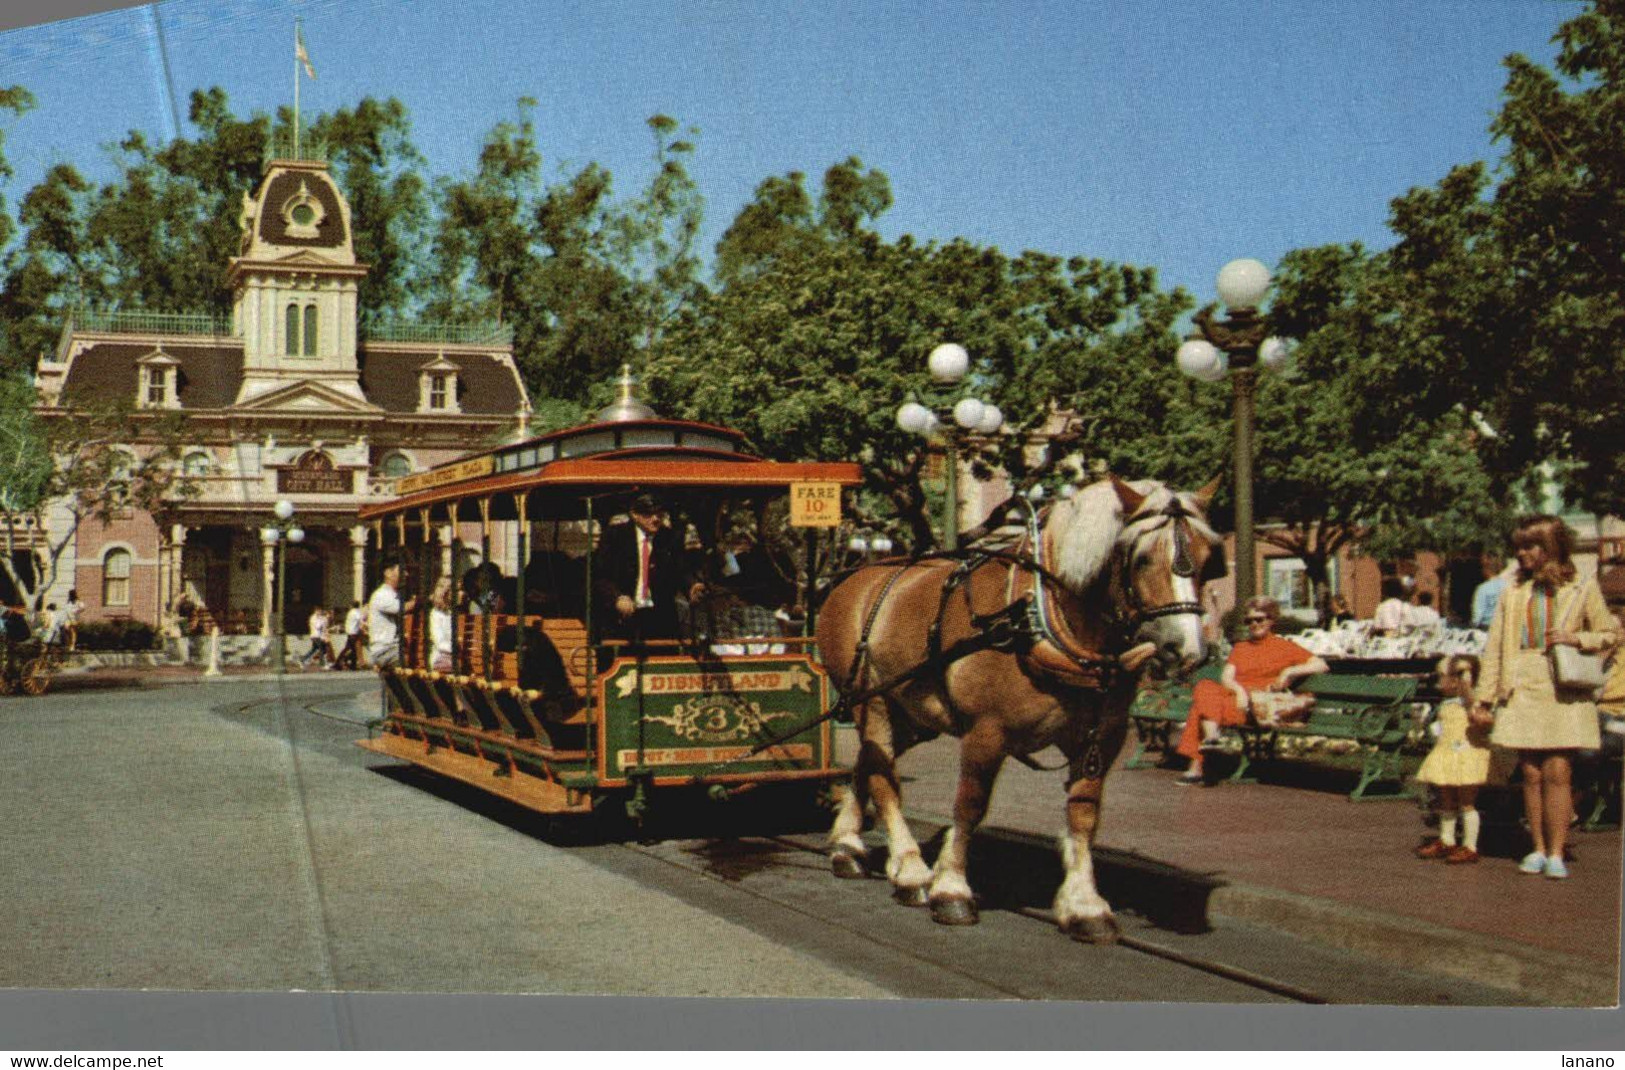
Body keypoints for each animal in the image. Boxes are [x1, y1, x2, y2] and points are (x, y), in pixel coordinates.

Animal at [819, 478, 1215, 943]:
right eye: (1142, 558)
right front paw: (950, 889)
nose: (1186, 650)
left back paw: (848, 847)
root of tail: (852, 581)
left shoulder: (1102, 737)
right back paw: (912, 871)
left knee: (868, 762)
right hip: (871, 700)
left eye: (1208, 560)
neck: (1037, 619)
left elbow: (1084, 814)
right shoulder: (986, 731)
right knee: (883, 777)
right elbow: (970, 804)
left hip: (913, 717)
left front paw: (1085, 906)